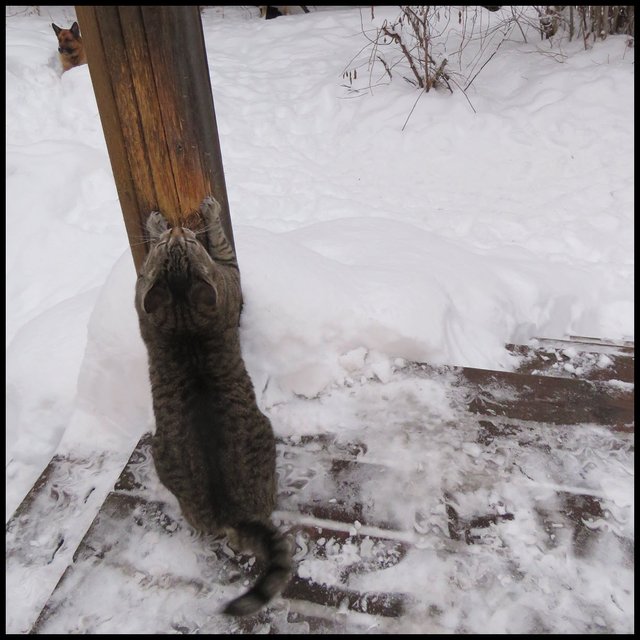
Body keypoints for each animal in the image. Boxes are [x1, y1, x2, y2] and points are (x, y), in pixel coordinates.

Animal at [135, 195, 290, 616]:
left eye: (186, 243)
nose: (177, 229)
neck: (182, 311)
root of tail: (230, 512)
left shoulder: (144, 300)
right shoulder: (227, 276)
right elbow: (222, 245)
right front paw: (190, 217)